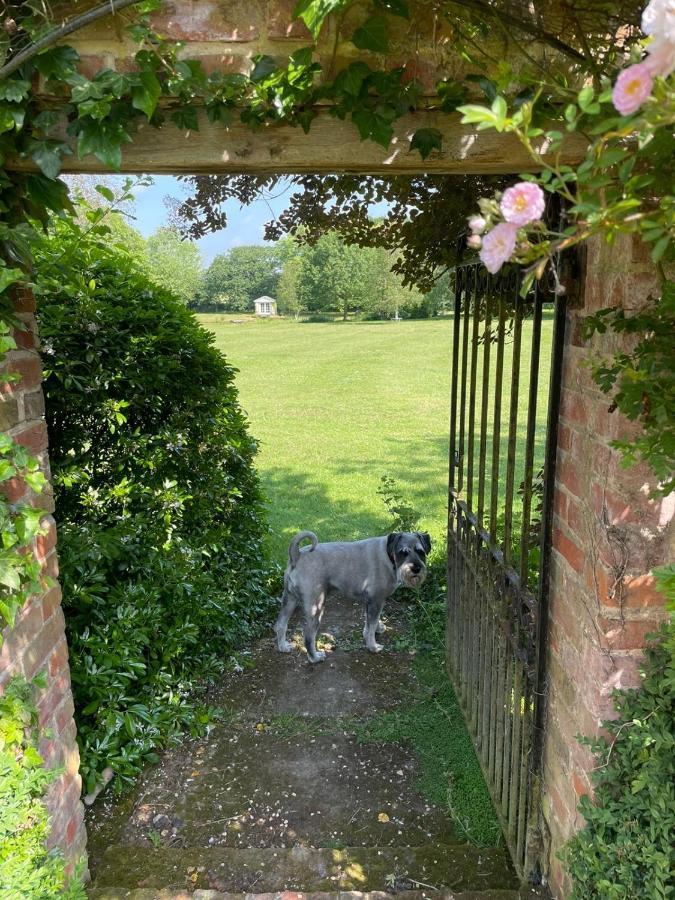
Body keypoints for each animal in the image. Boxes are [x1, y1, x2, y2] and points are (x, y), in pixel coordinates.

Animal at [276, 528, 430, 660]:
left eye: (420, 551)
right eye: (403, 552)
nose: (416, 568)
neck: (389, 555)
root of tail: (297, 556)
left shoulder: (371, 601)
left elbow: (371, 622)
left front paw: (376, 630)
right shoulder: (377, 600)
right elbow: (372, 624)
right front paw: (373, 646)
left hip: (289, 599)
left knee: (281, 624)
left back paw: (283, 647)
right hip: (316, 606)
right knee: (308, 635)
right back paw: (315, 657)